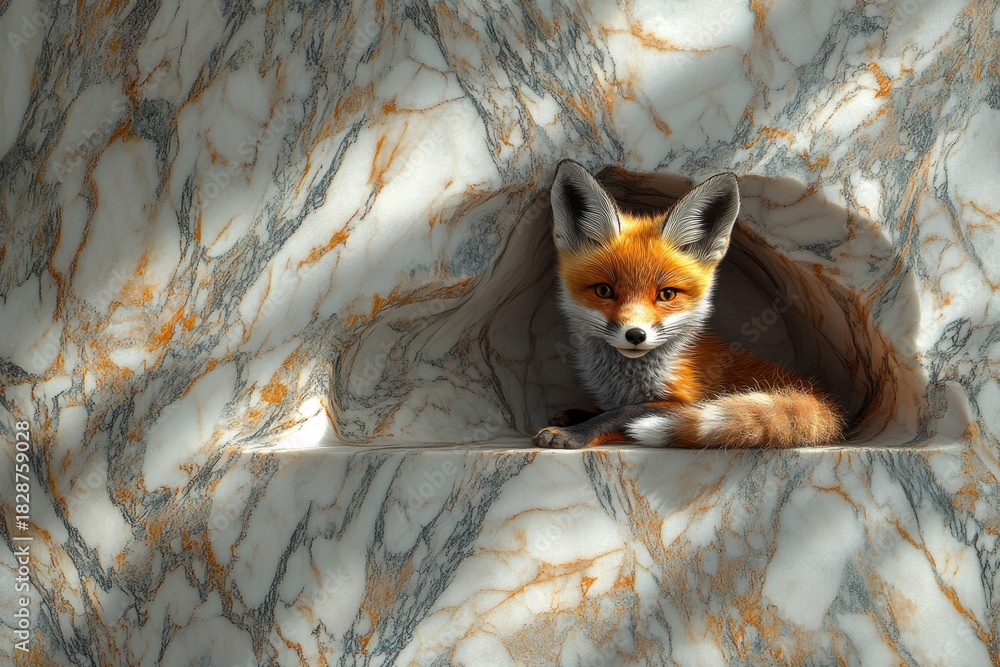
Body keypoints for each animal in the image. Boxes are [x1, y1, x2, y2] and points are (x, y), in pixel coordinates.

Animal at [532, 160, 844, 449]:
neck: (629, 379)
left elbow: (623, 413)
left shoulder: (686, 402)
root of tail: (813, 392)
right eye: (604, 290)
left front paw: (577, 432)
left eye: (667, 294)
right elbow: (612, 408)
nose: (635, 335)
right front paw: (576, 414)